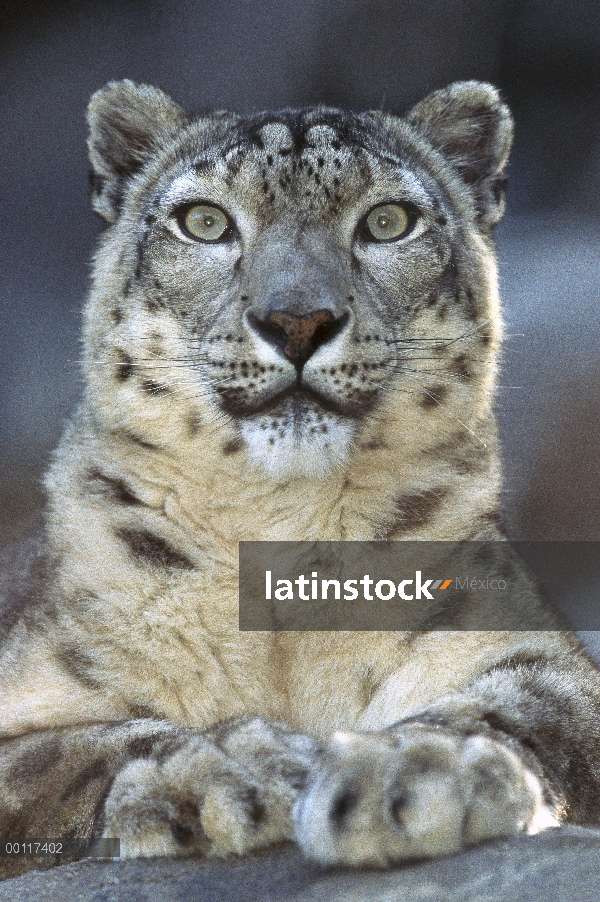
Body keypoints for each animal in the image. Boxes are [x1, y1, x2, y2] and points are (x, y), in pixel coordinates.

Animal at [1, 83, 600, 876]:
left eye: (388, 221)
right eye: (204, 221)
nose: (297, 320)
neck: (280, 525)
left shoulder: (527, 645)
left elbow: (521, 703)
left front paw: (415, 773)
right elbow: (77, 747)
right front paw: (234, 771)